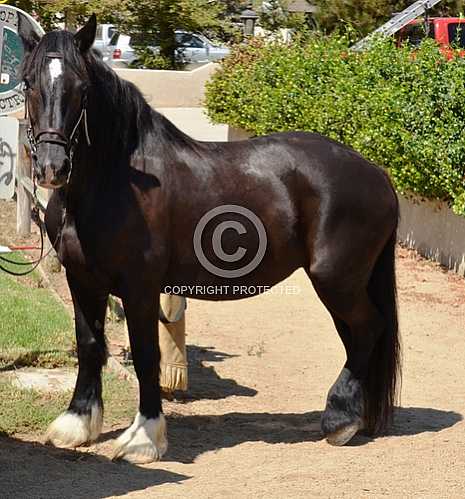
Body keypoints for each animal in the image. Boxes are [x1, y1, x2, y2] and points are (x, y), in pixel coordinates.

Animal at [20, 16, 398, 464]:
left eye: (81, 87)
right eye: (28, 82)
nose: (52, 167)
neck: (111, 182)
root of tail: (377, 174)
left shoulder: (139, 287)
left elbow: (146, 355)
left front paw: (144, 438)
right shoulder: (82, 280)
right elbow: (90, 345)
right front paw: (77, 423)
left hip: (337, 279)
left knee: (368, 329)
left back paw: (340, 420)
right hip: (346, 283)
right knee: (357, 334)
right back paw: (352, 416)